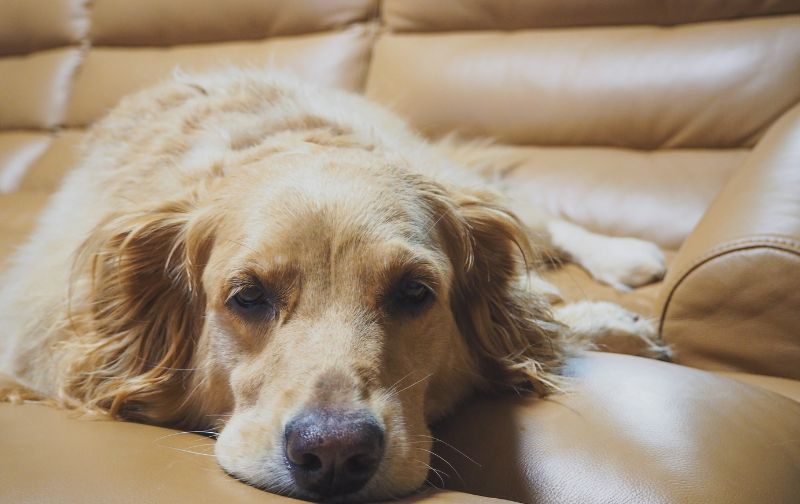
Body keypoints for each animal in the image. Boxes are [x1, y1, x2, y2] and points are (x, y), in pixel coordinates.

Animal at [0, 69, 664, 502]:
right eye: (247, 297)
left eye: (414, 293)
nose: (335, 455)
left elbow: (539, 321)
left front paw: (610, 322)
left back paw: (626, 257)